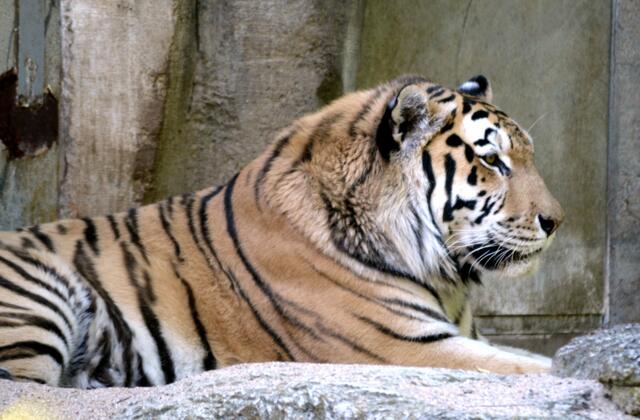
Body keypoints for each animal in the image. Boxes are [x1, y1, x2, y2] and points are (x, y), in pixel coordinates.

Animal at [0, 75, 563, 388]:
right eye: (492, 161)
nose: (556, 221)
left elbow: (541, 357)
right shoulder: (404, 347)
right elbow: (537, 370)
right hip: (41, 298)